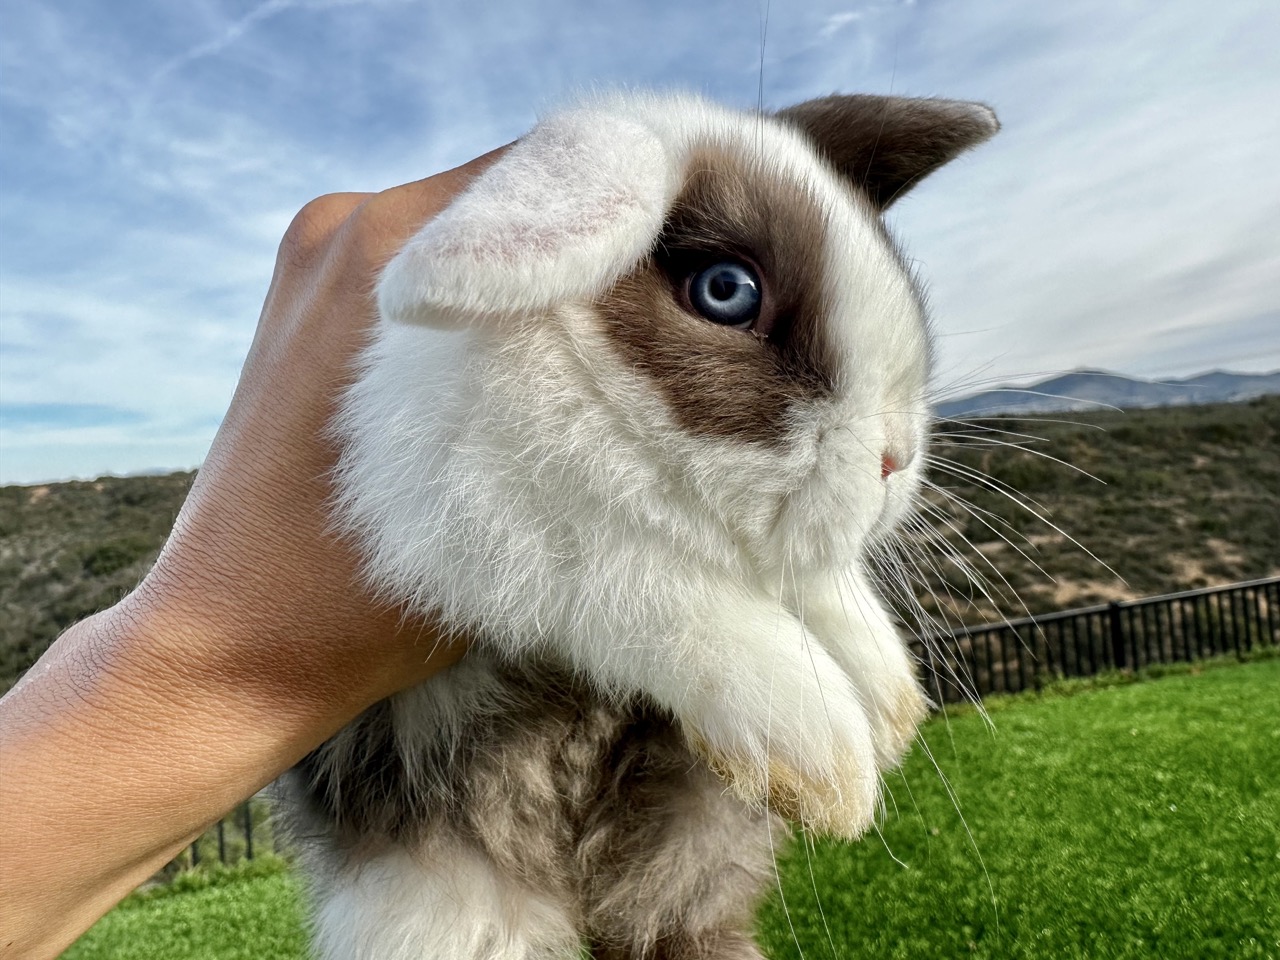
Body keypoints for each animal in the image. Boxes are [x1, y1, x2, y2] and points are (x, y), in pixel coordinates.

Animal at [280, 90, 998, 960]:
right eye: (726, 290)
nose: (896, 458)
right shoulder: (490, 530)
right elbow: (657, 584)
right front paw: (825, 756)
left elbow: (817, 583)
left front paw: (891, 701)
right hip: (445, 904)